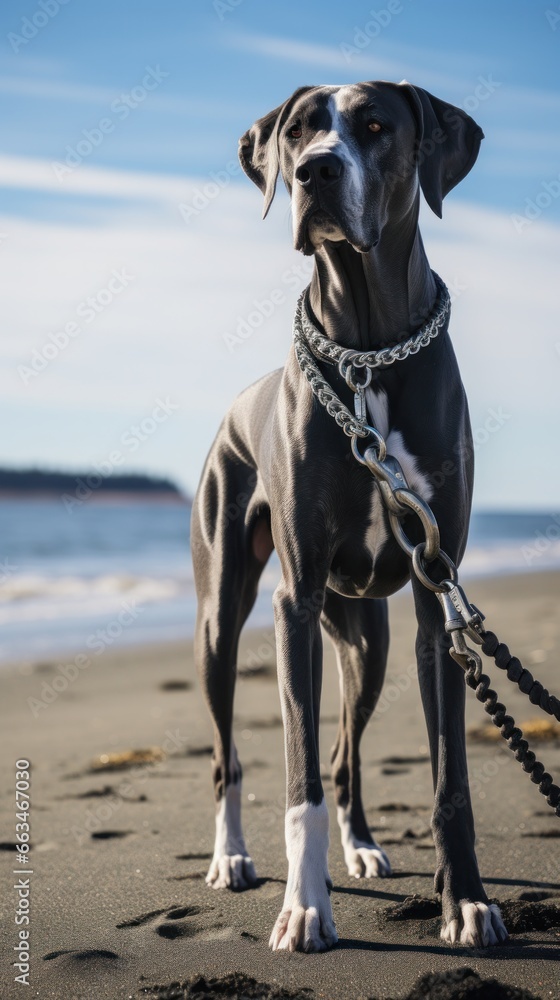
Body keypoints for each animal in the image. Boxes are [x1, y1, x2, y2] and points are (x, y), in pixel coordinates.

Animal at [191, 78, 508, 952]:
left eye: (374, 126)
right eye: (297, 132)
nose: (314, 172)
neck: (367, 350)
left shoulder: (437, 600)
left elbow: (450, 781)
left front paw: (466, 903)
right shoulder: (294, 604)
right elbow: (297, 779)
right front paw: (305, 908)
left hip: (367, 639)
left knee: (345, 753)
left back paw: (362, 845)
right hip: (223, 619)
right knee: (231, 756)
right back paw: (231, 858)